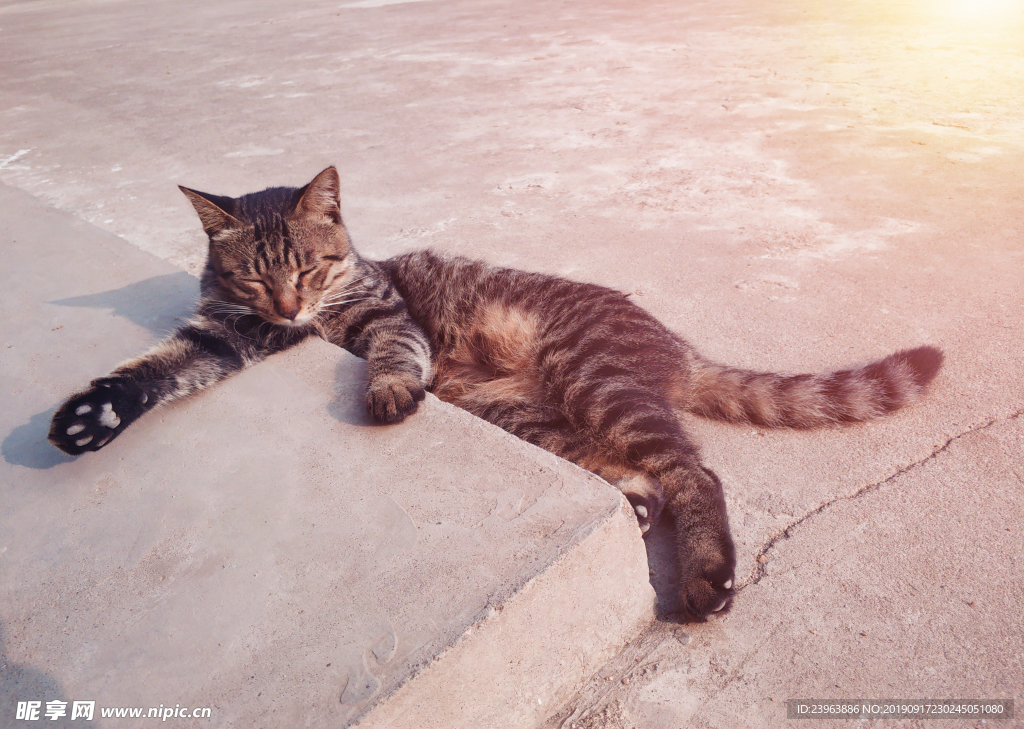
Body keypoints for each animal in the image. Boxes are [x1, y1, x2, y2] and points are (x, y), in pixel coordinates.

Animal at [49, 166, 942, 622]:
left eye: (307, 265)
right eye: (253, 275)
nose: (290, 307)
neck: (309, 318)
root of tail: (674, 346)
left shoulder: (390, 317)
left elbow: (393, 353)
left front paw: (388, 391)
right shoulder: (225, 335)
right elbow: (153, 369)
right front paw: (92, 414)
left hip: (594, 382)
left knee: (695, 471)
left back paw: (707, 579)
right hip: (532, 415)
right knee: (641, 475)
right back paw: (638, 506)